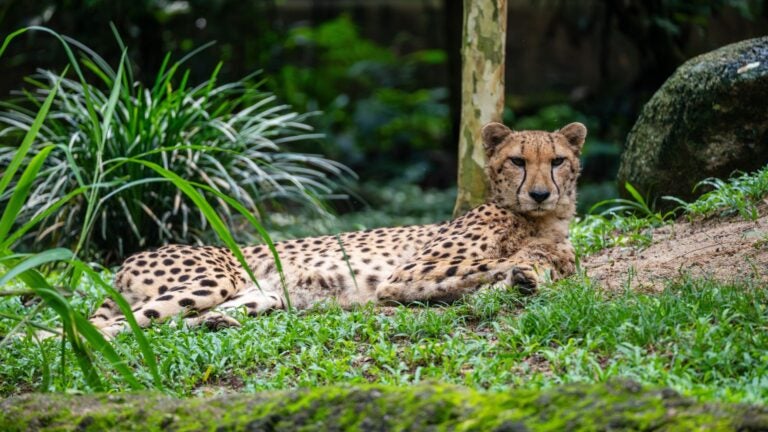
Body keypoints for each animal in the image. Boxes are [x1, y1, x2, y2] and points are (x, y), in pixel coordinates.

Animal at [90, 121, 587, 337]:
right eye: (518, 161)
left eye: (557, 161)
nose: (540, 193)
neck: (536, 221)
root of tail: (129, 259)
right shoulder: (406, 276)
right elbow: (489, 265)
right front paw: (524, 269)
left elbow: (545, 265)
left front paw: (532, 273)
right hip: (211, 279)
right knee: (101, 328)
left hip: (261, 295)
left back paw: (214, 321)